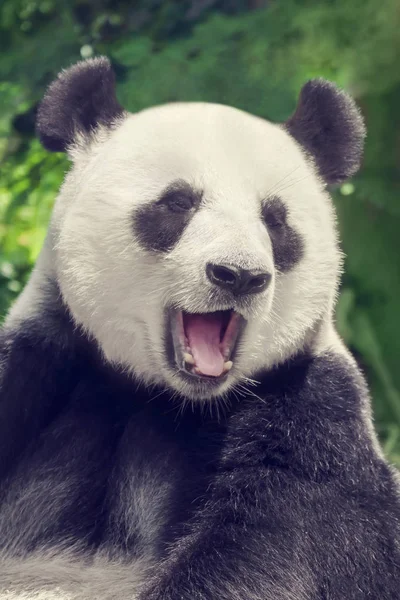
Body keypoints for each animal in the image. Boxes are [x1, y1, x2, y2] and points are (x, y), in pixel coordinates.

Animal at [0, 57, 400, 600]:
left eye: (275, 219)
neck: (166, 397)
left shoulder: (309, 419)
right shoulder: (43, 362)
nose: (239, 275)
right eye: (178, 202)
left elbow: (265, 551)